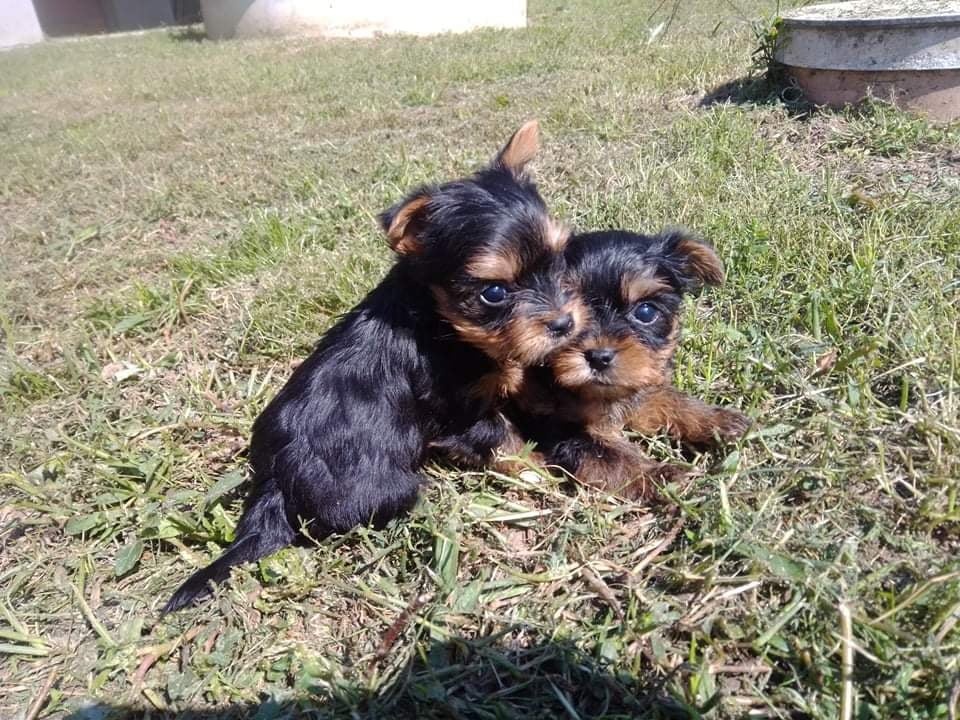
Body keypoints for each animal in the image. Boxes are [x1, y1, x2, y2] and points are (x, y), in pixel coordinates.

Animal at [163, 121, 584, 612]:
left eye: (559, 258)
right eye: (493, 293)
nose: (563, 323)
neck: (438, 321)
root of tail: (275, 483)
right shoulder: (457, 410)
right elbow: (502, 438)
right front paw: (540, 472)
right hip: (386, 487)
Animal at [506, 229, 748, 500]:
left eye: (645, 312)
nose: (599, 356)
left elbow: (666, 398)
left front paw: (717, 420)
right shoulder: (555, 425)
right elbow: (608, 454)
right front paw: (661, 477)